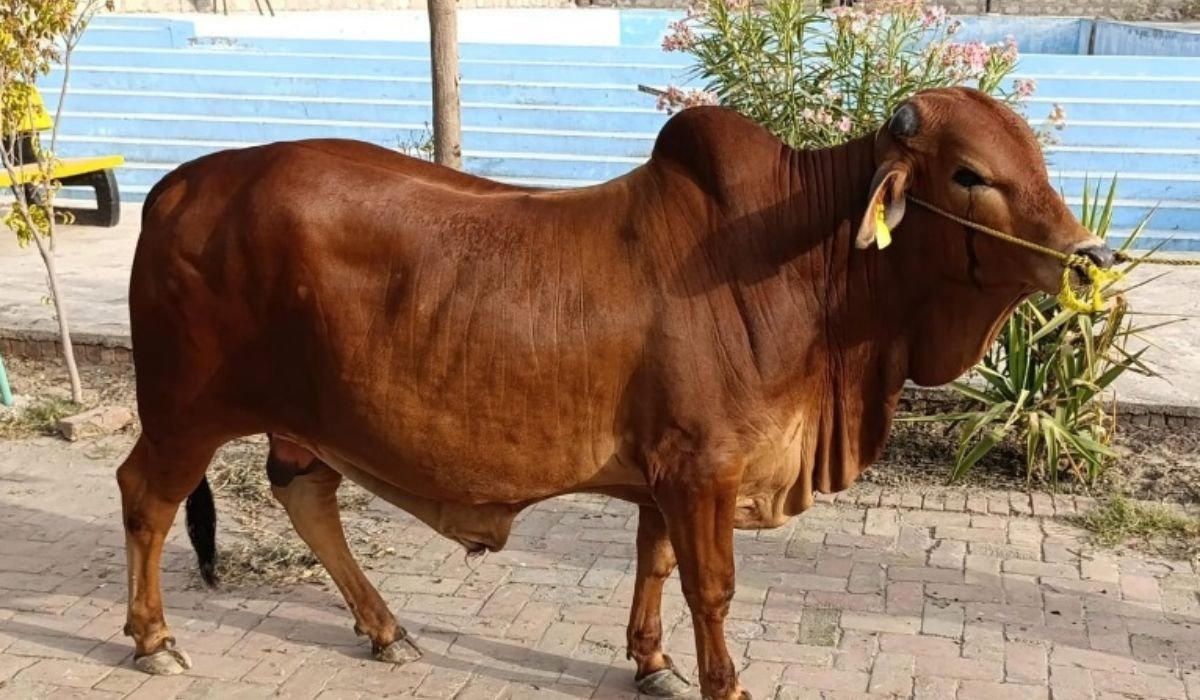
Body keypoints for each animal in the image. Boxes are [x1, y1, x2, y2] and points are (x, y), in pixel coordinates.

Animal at [116, 86, 1113, 700]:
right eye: (969, 174)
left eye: (1035, 156)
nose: (1091, 257)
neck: (808, 271)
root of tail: (178, 184)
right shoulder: (703, 467)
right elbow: (712, 586)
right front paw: (725, 680)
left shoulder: (668, 472)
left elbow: (656, 564)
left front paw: (653, 663)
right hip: (184, 410)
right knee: (146, 499)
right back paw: (155, 641)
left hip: (300, 420)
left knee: (306, 493)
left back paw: (386, 628)